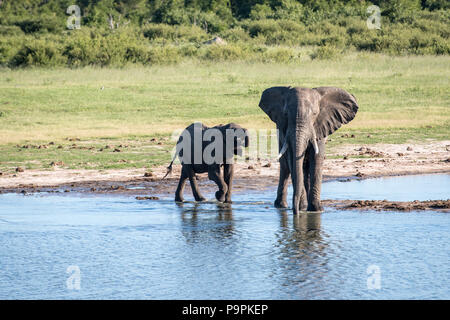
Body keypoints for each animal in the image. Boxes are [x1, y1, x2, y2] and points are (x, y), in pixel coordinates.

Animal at [260, 86, 358, 214]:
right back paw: (282, 206)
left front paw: (316, 209)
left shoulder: (320, 127)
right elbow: (293, 162)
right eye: (285, 114)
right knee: (285, 167)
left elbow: (316, 160)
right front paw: (302, 208)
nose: (295, 212)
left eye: (315, 113)